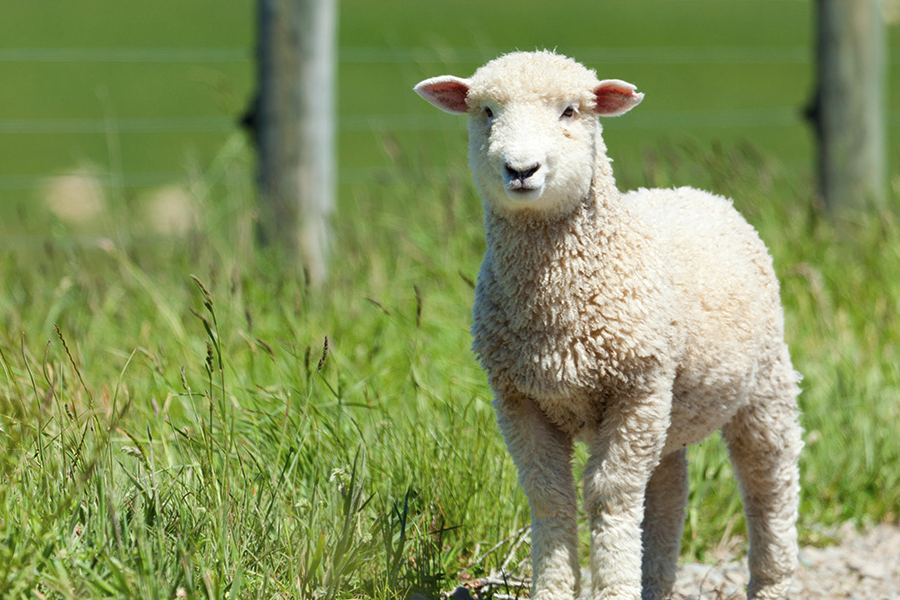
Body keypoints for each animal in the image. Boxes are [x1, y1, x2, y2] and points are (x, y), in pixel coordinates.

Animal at [414, 51, 800, 600]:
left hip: (762, 379)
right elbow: (550, 495)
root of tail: (698, 193)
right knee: (667, 485)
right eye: (486, 111)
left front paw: (614, 585)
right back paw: (656, 581)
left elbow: (609, 495)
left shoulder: (634, 389)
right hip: (667, 409)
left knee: (768, 477)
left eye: (570, 111)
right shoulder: (517, 397)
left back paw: (772, 580)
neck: (558, 317)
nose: (521, 169)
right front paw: (554, 588)